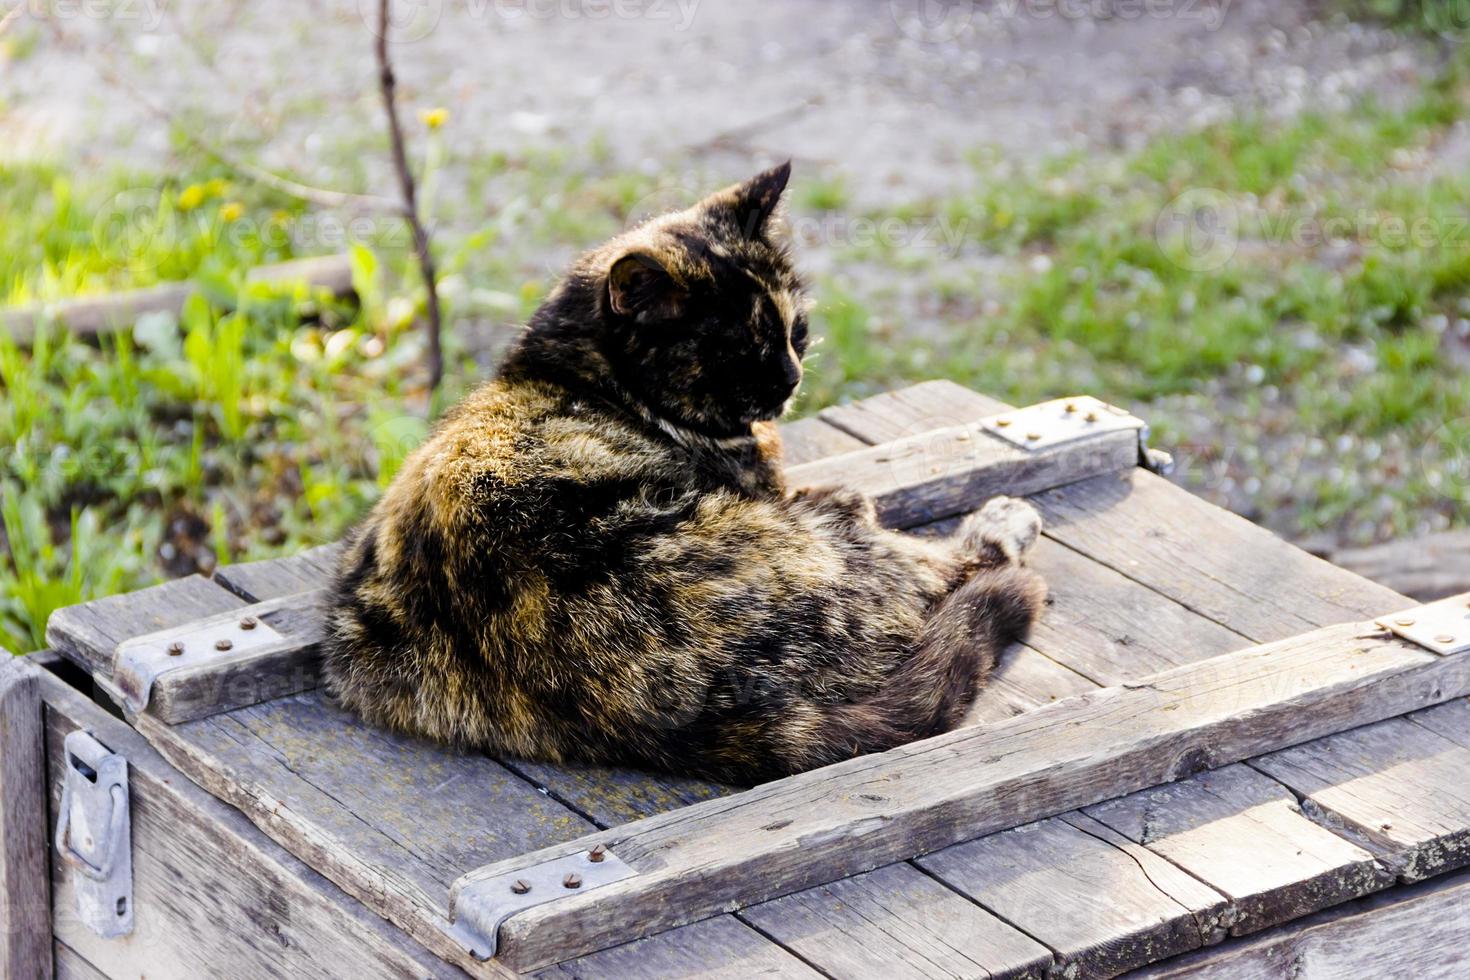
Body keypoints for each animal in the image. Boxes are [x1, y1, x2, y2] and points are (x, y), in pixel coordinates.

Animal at [327, 164, 1052, 787]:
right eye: (739, 351)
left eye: (796, 330)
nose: (790, 380)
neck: (576, 375)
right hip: (830, 558)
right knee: (957, 562)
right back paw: (1000, 519)